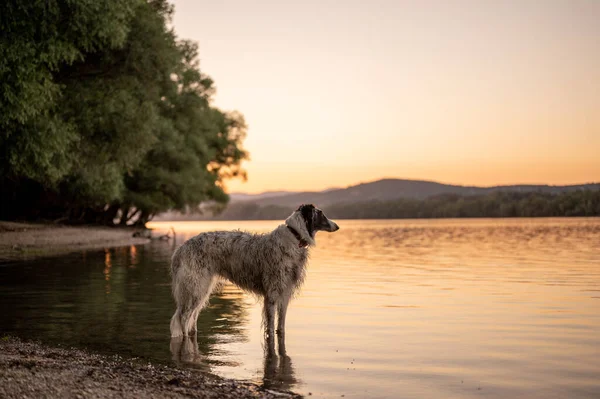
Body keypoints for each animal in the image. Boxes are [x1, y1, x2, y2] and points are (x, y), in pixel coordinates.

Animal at [170, 203, 338, 344]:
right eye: (321, 213)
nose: (337, 226)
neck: (294, 235)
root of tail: (180, 250)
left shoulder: (284, 293)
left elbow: (281, 326)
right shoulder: (271, 294)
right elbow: (270, 326)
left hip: (201, 289)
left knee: (192, 318)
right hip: (195, 287)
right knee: (183, 318)